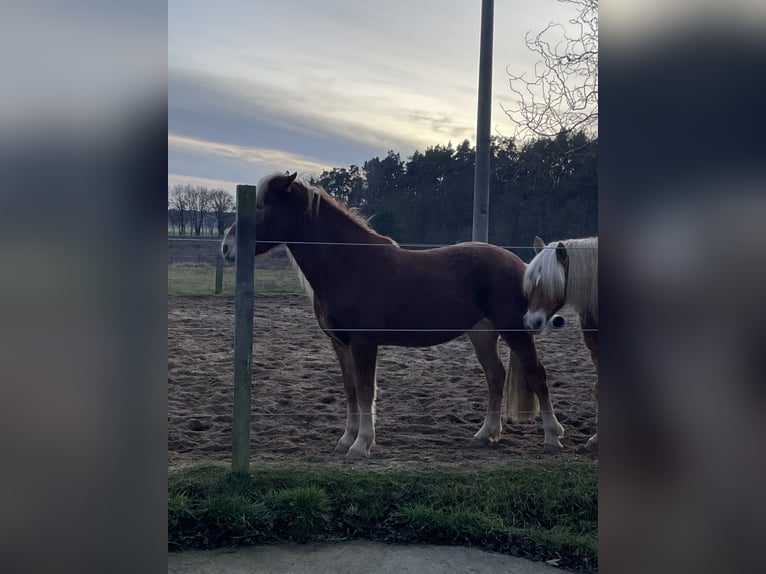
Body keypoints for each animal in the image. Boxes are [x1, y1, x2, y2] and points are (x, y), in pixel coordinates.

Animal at [222, 172, 564, 459]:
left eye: (263, 206)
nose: (226, 248)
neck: (348, 264)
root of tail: (522, 265)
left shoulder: (364, 343)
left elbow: (365, 391)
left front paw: (361, 445)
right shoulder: (341, 345)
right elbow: (350, 391)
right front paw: (346, 440)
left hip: (514, 331)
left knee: (537, 375)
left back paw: (552, 437)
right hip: (482, 334)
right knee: (496, 376)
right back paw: (486, 434)